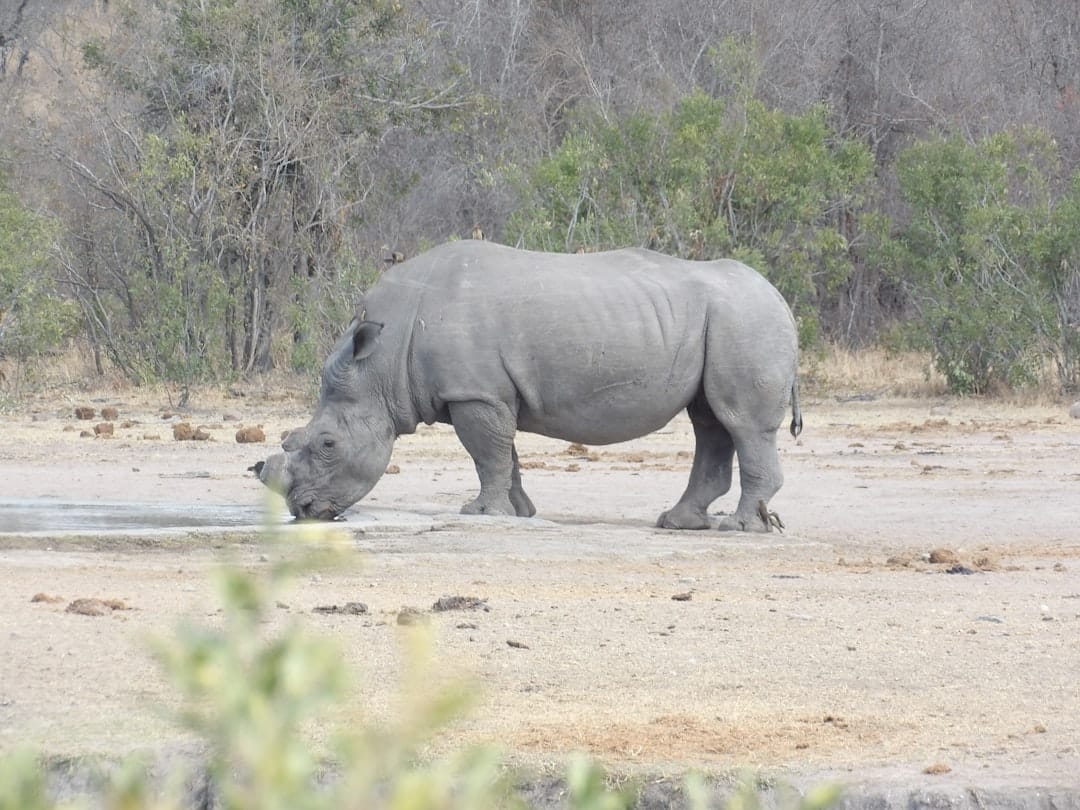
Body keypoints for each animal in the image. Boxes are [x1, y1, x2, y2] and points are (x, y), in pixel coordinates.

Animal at [257, 240, 802, 531]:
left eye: (328, 445)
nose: (302, 510)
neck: (381, 365)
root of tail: (782, 298)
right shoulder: (491, 393)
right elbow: (506, 454)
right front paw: (518, 513)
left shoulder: (473, 392)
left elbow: (487, 455)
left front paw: (480, 513)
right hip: (732, 321)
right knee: (710, 421)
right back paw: (677, 523)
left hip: (746, 320)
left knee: (739, 423)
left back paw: (739, 527)